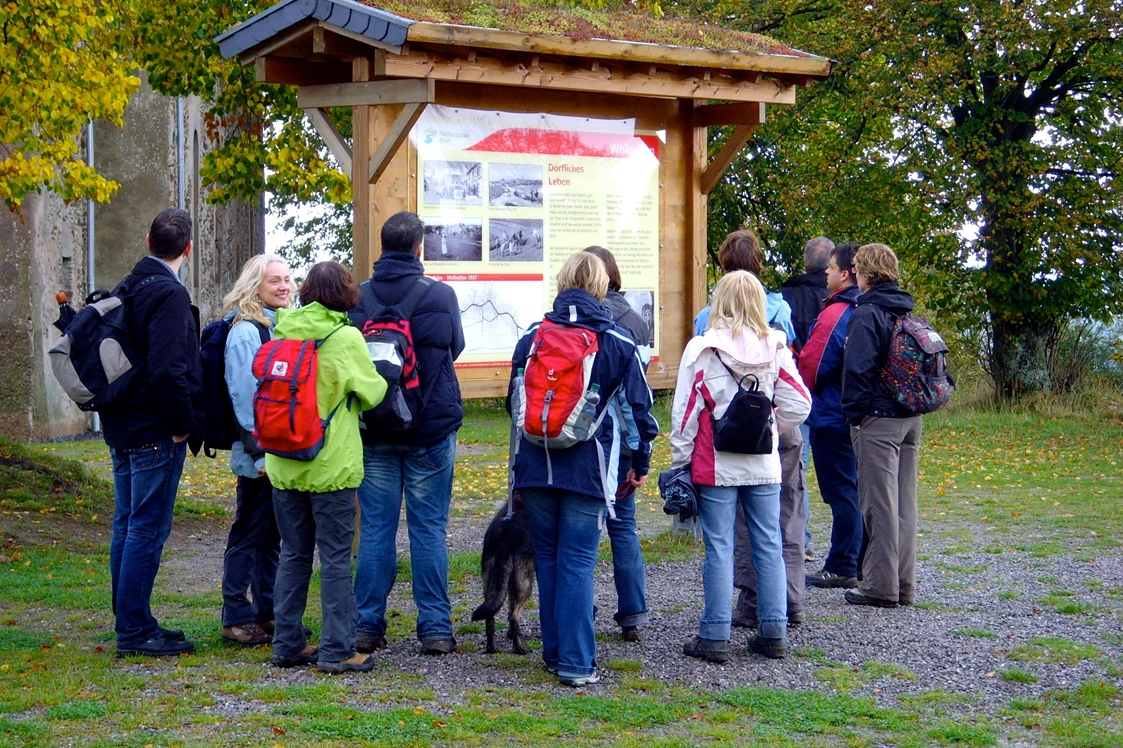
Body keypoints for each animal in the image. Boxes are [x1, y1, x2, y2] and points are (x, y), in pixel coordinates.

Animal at [471, 500, 536, 651]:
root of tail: (505, 538)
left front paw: (511, 633)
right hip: (525, 584)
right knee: (514, 616)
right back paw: (519, 649)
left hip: (490, 580)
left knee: (490, 615)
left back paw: (491, 648)